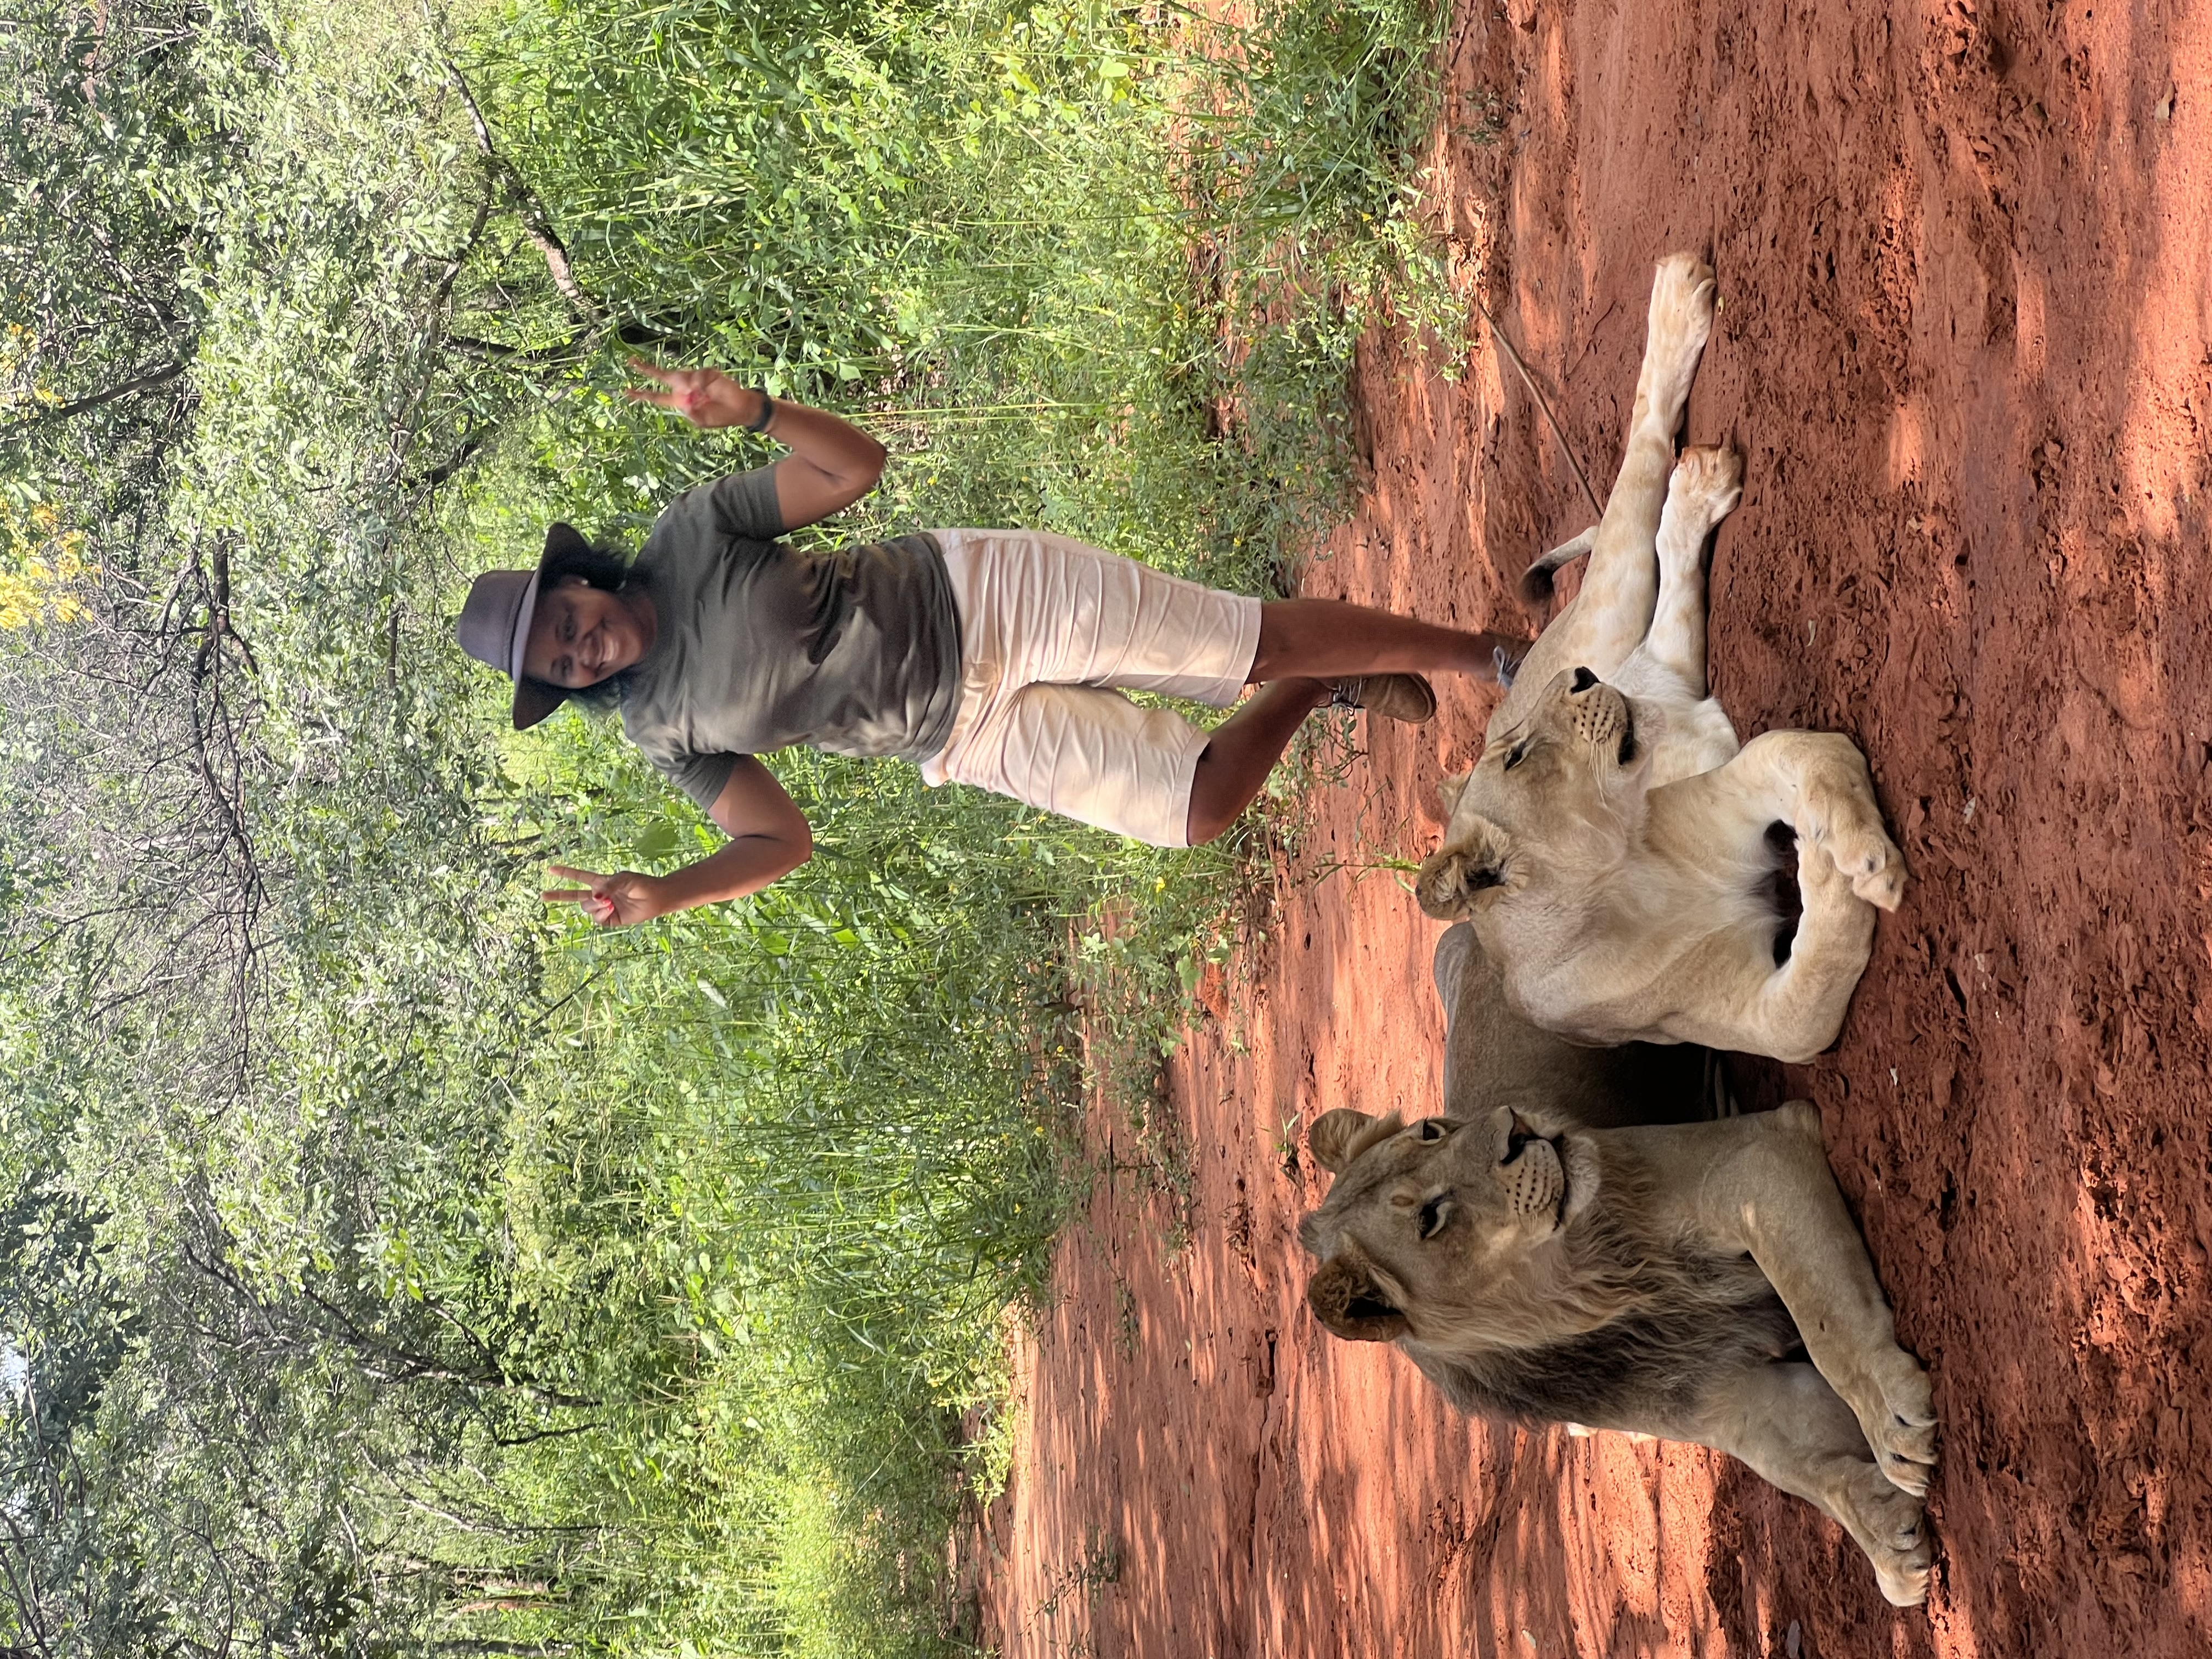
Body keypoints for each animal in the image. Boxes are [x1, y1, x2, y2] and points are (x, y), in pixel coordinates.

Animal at [1298, 1086, 1939, 1606]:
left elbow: (1823, 1322)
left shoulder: (1752, 1155)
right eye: (1430, 1219)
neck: (1601, 1285)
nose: (1515, 1129)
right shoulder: (1723, 1400)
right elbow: (1795, 1468)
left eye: (1430, 1130)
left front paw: (1893, 1427)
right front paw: (1887, 1541)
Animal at [1414, 253, 1905, 1062]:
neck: (1617, 874)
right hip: (1650, 650)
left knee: (1641, 461)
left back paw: (1680, 313)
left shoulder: (1727, 785)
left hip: (1612, 602)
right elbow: (1819, 968)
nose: (1578, 681)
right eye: (1515, 757)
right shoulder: (1746, 1014)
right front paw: (1851, 869)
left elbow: (1803, 754)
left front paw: (1848, 847)